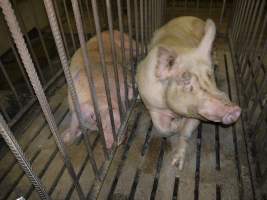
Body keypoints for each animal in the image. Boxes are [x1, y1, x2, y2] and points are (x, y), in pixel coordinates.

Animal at [137, 16, 242, 170]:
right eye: (186, 82)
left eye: (210, 75)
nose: (234, 109)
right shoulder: (152, 105)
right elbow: (162, 129)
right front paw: (176, 124)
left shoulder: (196, 113)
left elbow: (186, 132)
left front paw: (177, 165)